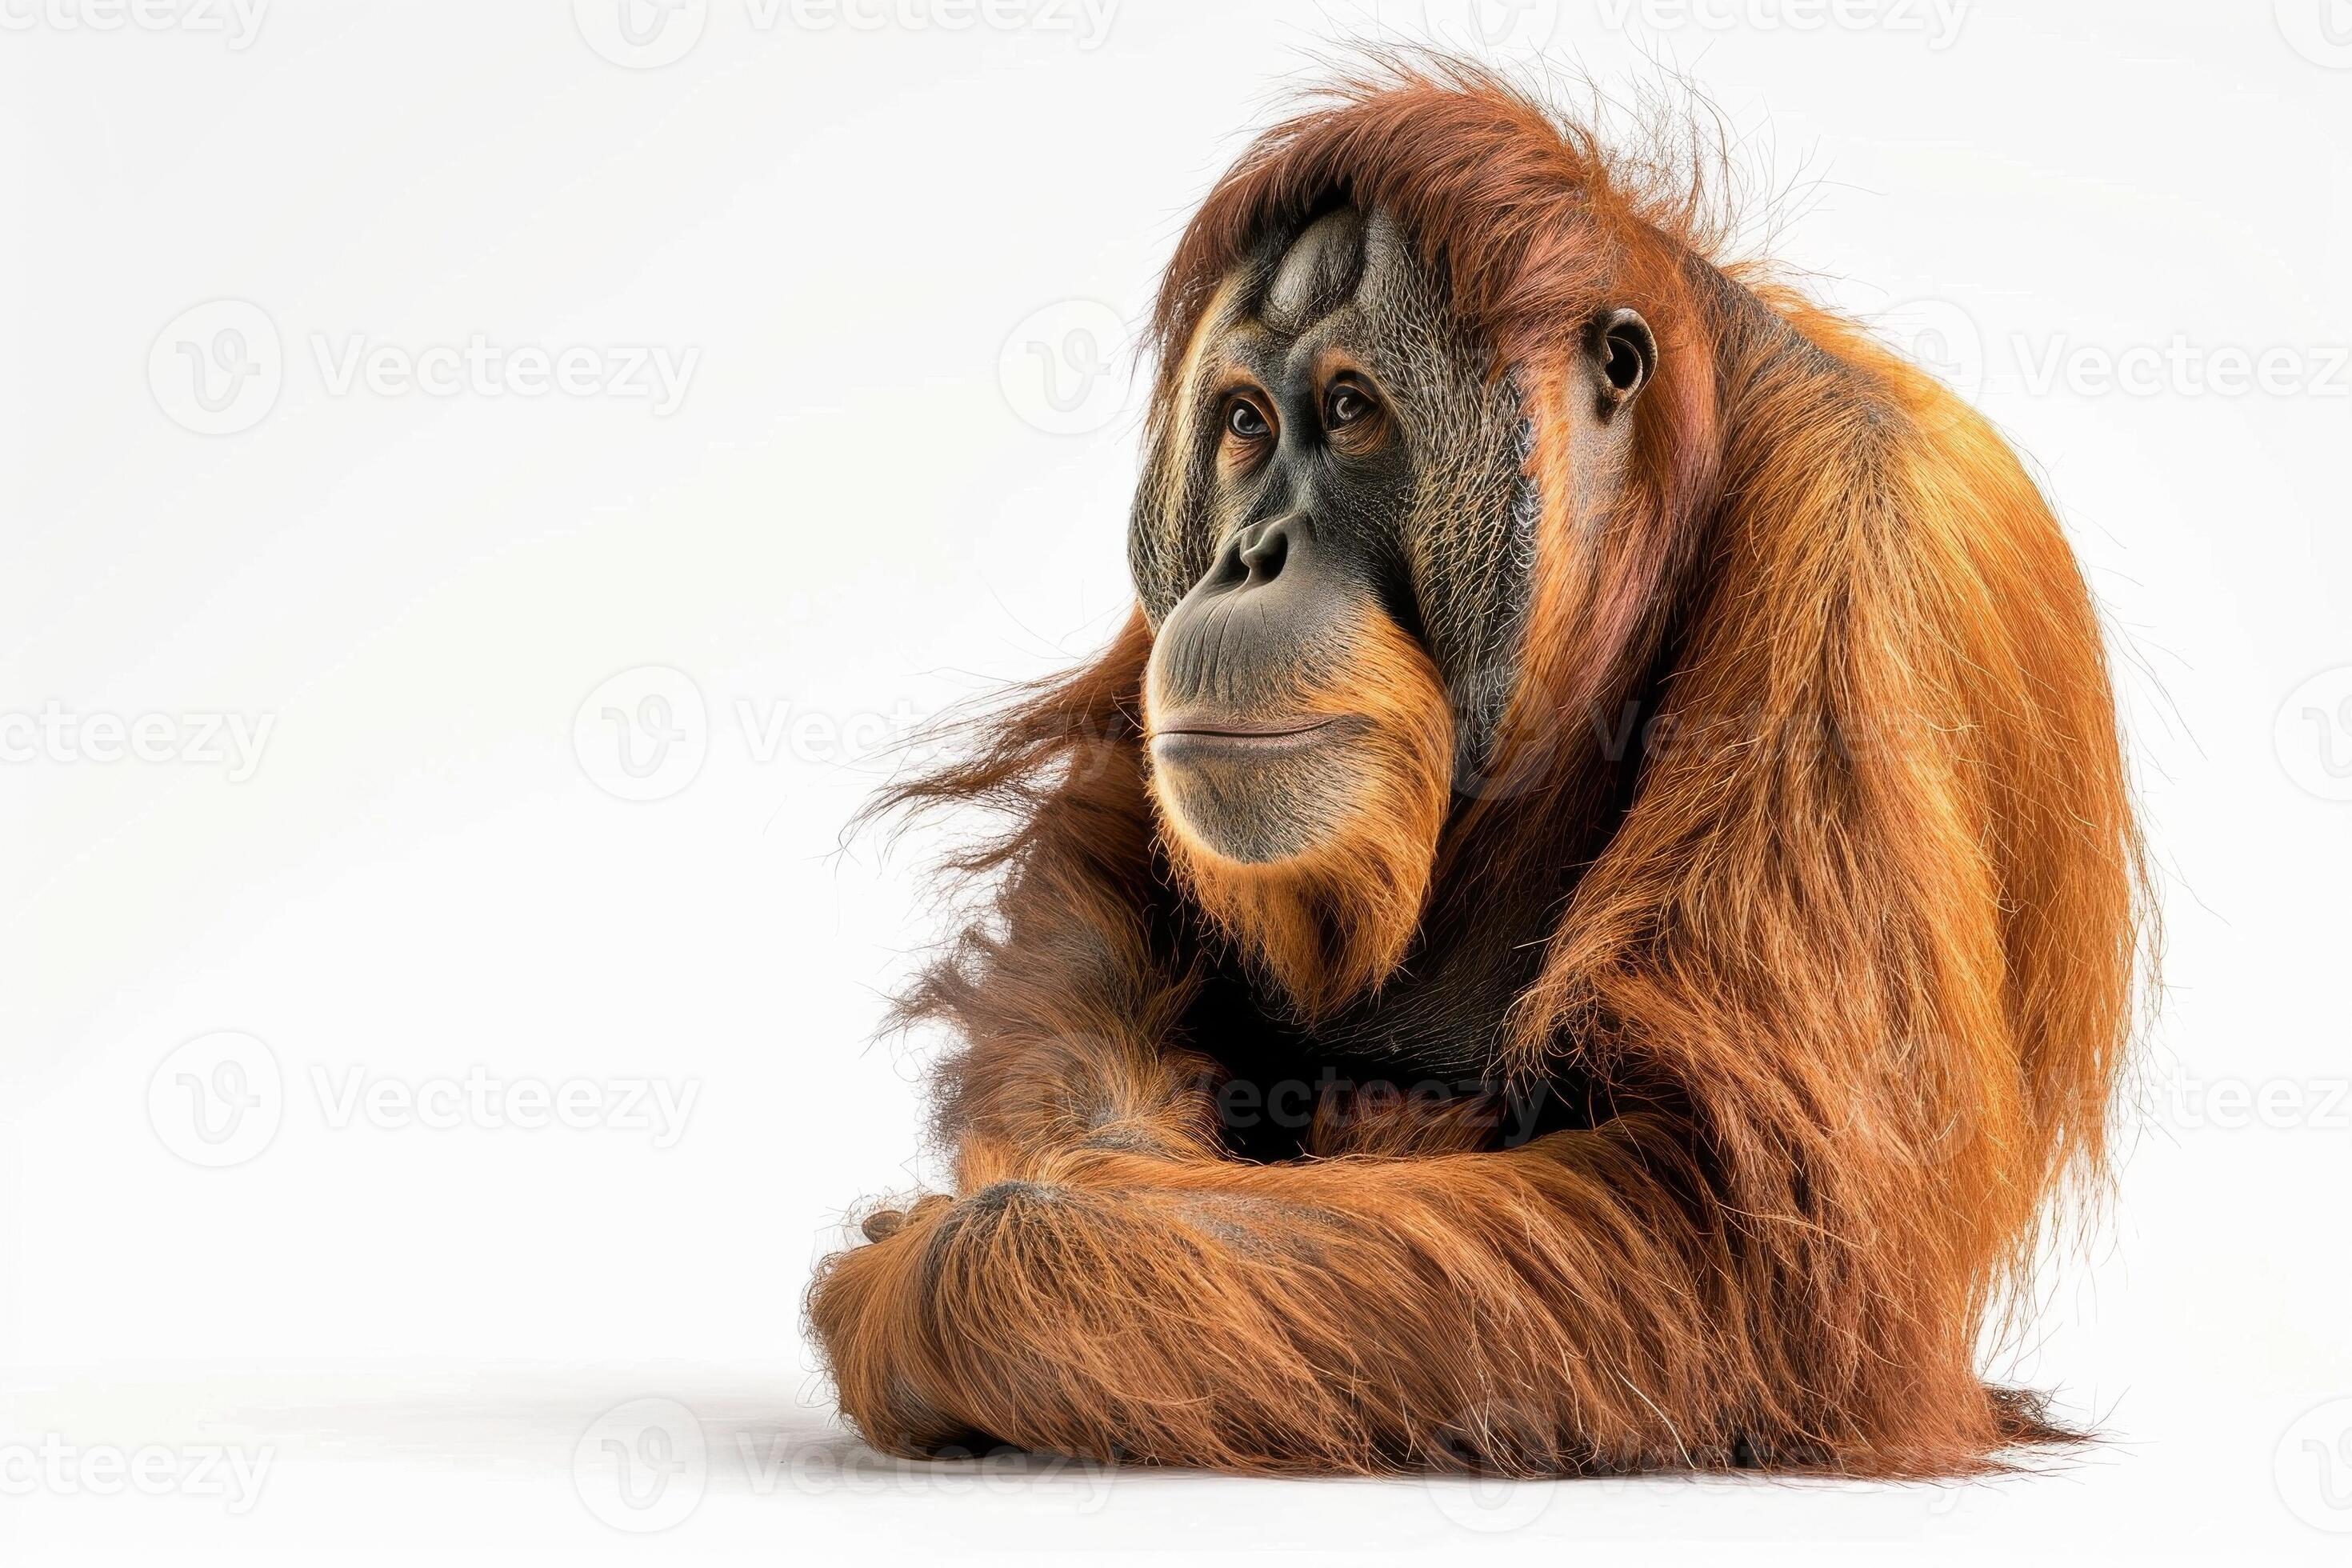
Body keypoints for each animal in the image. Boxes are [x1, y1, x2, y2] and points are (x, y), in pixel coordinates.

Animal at [806, 62, 2145, 1479]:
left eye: (1351, 411)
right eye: (1244, 424)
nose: (1248, 557)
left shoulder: (1852, 558)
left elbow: (1744, 1234)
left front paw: (929, 1270)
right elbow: (1101, 911)